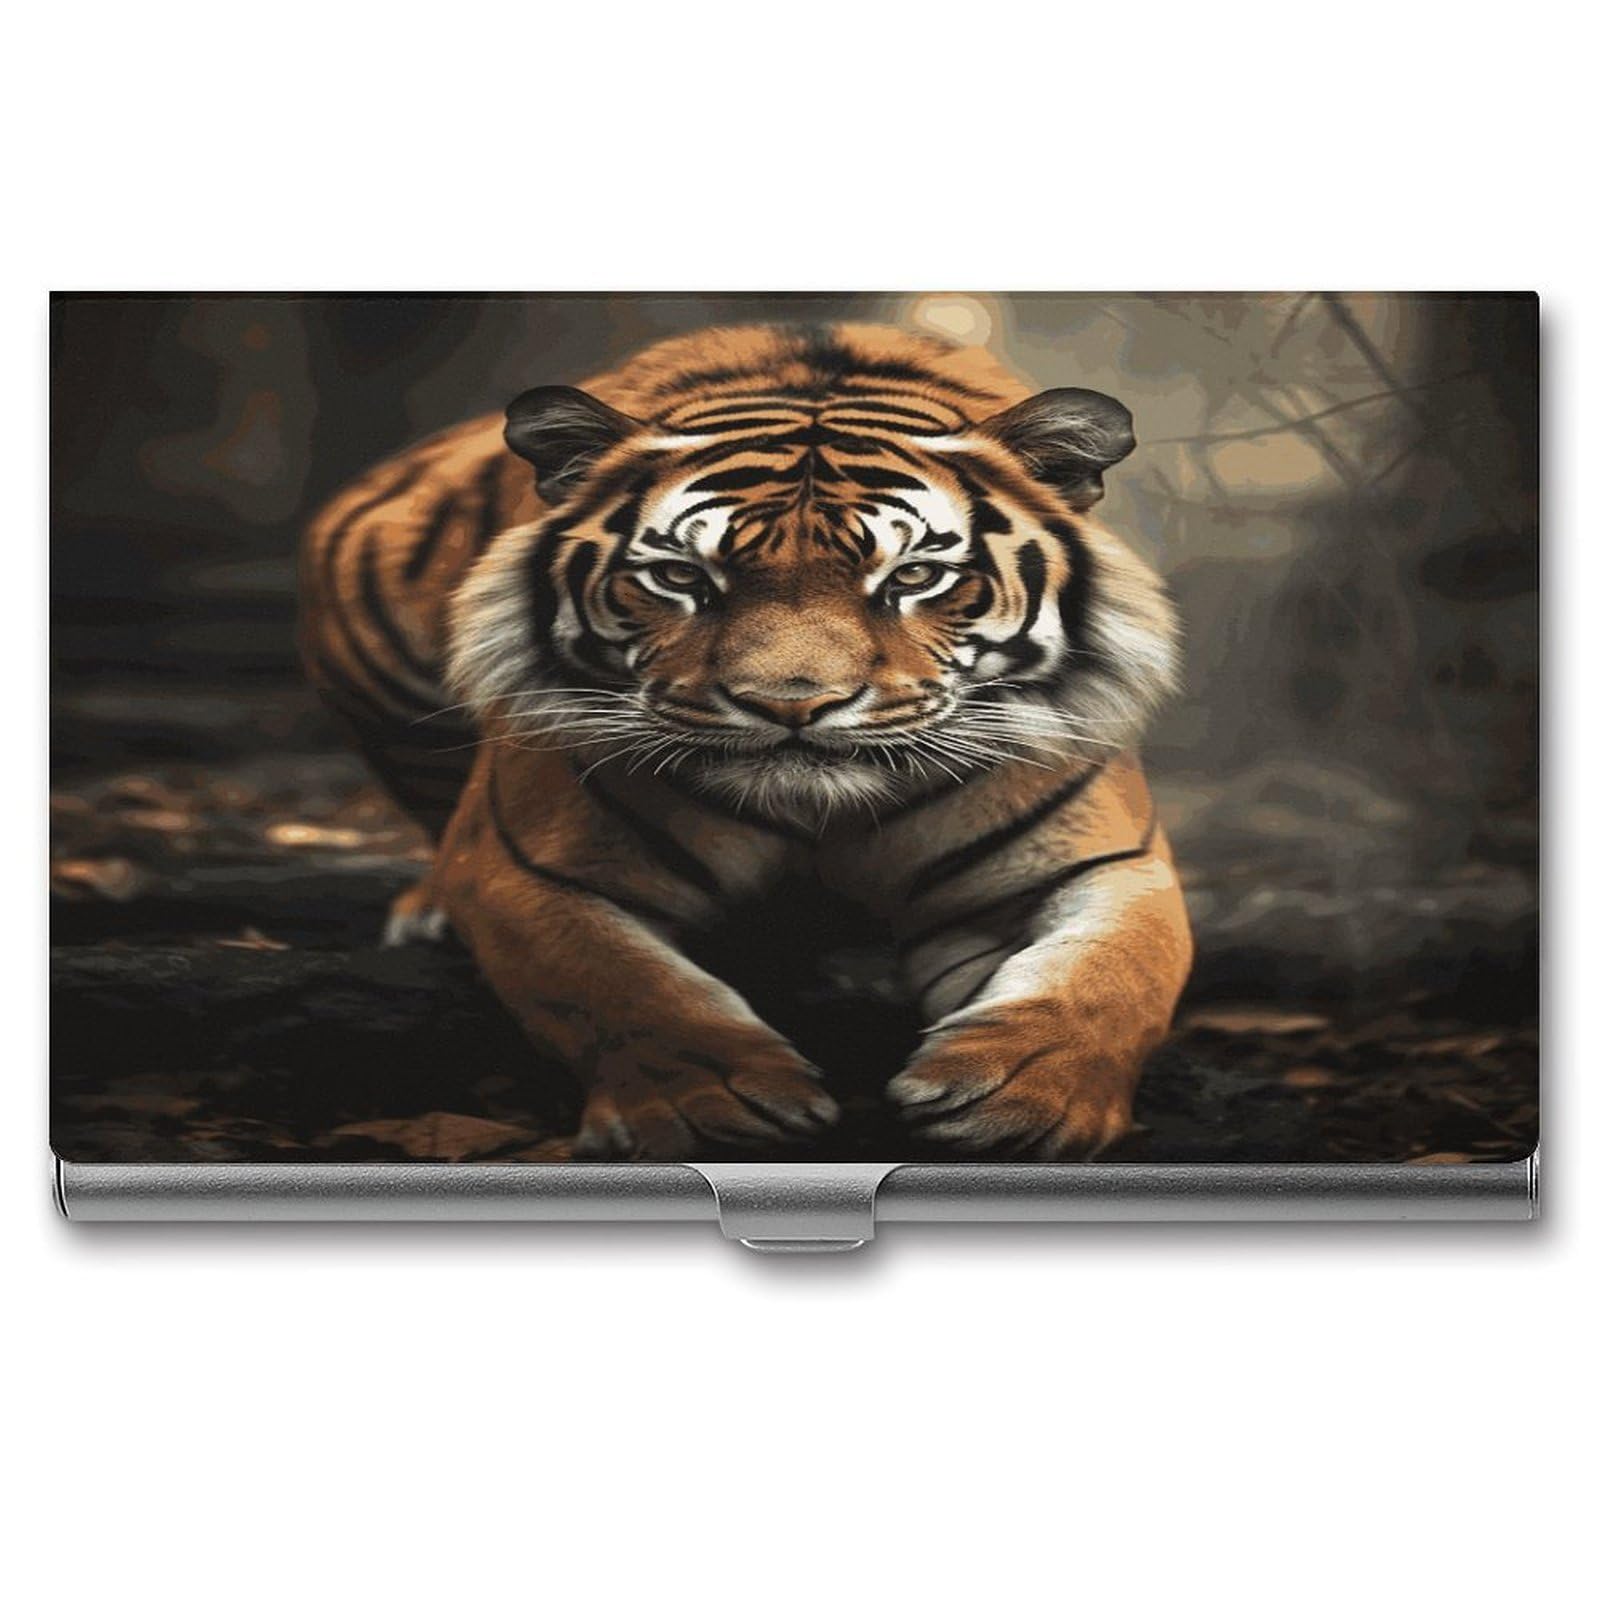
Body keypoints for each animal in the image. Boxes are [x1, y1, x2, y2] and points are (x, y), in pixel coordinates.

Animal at [299, 322, 1192, 1161]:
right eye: (681, 578)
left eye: (913, 577)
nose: (792, 704)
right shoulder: (528, 869)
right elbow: (616, 986)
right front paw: (713, 1107)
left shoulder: (1106, 862)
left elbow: (1116, 972)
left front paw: (1019, 1100)